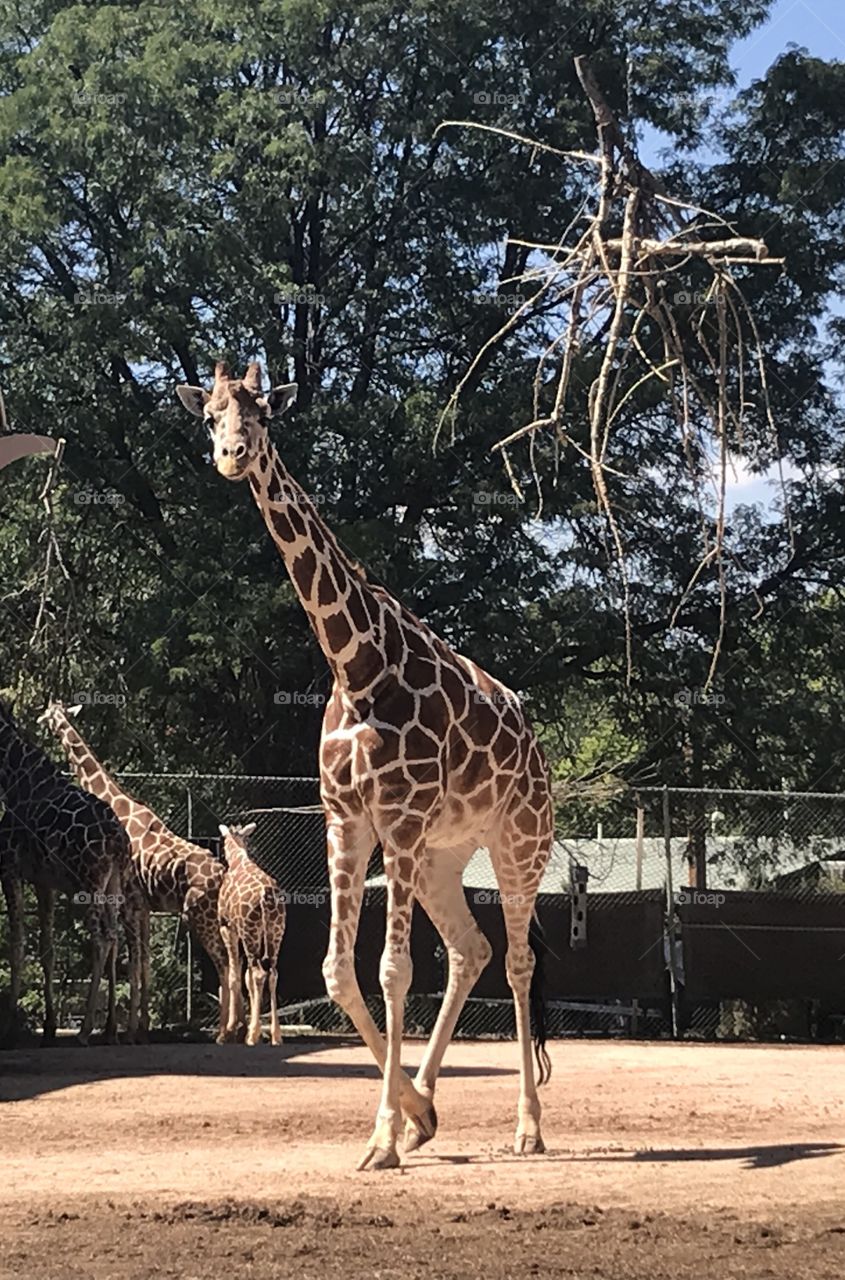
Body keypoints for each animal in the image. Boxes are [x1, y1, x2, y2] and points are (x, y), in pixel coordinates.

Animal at [0, 699, 142, 1044]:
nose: (41, 719)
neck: (14, 779)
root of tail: (117, 839)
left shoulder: (9, 870)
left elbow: (16, 945)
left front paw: (9, 1025)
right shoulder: (44, 881)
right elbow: (46, 947)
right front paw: (49, 1026)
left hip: (89, 883)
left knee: (103, 940)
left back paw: (87, 1029)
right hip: (113, 885)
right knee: (116, 939)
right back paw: (112, 1029)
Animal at [39, 701, 241, 1043]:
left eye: (47, 713)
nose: (40, 722)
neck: (118, 804)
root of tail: (222, 875)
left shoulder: (129, 902)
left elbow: (130, 963)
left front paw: (128, 1030)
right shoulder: (142, 907)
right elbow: (143, 964)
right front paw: (141, 1027)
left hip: (196, 915)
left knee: (224, 962)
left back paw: (224, 1033)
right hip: (215, 917)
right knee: (233, 960)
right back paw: (235, 1029)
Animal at [217, 822, 286, 1046]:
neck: (238, 858)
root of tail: (265, 896)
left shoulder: (227, 926)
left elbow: (234, 975)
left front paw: (228, 1032)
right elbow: (245, 975)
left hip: (251, 932)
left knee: (258, 973)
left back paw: (253, 1035)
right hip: (275, 930)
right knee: (272, 972)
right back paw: (276, 1035)